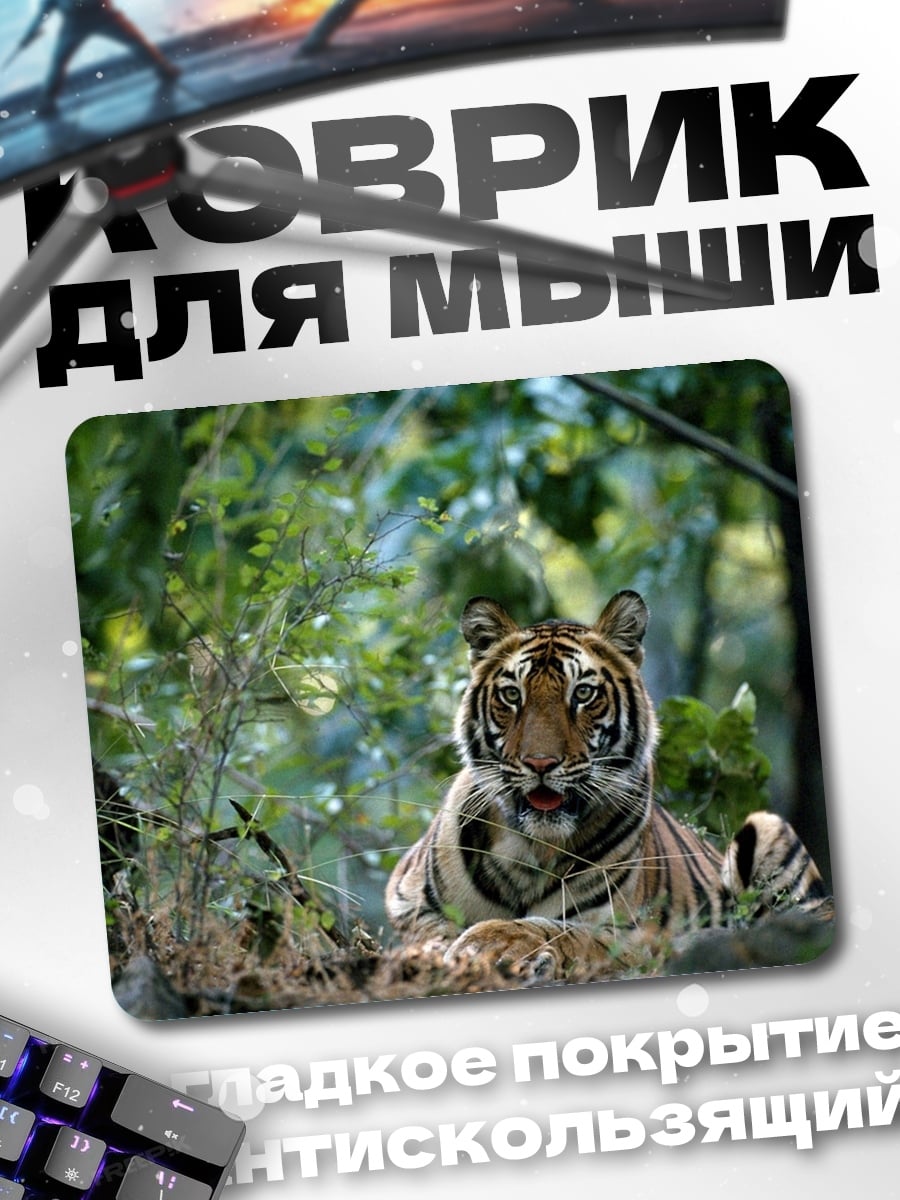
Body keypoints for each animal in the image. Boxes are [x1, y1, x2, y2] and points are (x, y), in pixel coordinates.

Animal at [385, 589, 828, 978]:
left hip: (769, 830)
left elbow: (563, 931)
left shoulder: (636, 933)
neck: (531, 852)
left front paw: (494, 942)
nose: (540, 762)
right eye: (512, 695)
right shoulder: (404, 898)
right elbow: (430, 931)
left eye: (583, 693)